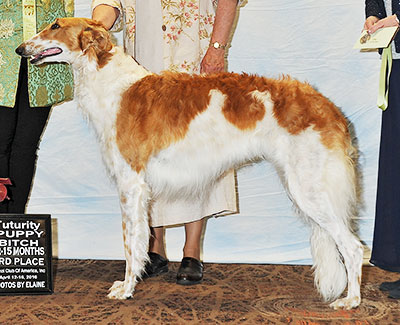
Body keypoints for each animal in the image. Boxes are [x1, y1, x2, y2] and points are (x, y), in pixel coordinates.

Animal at [17, 17, 364, 308]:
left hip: (310, 188)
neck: (114, 84)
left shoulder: (131, 183)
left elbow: (130, 244)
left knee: (354, 247)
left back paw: (351, 301)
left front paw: (126, 288)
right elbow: (141, 241)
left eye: (55, 25)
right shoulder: (142, 189)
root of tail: (327, 106)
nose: (20, 49)